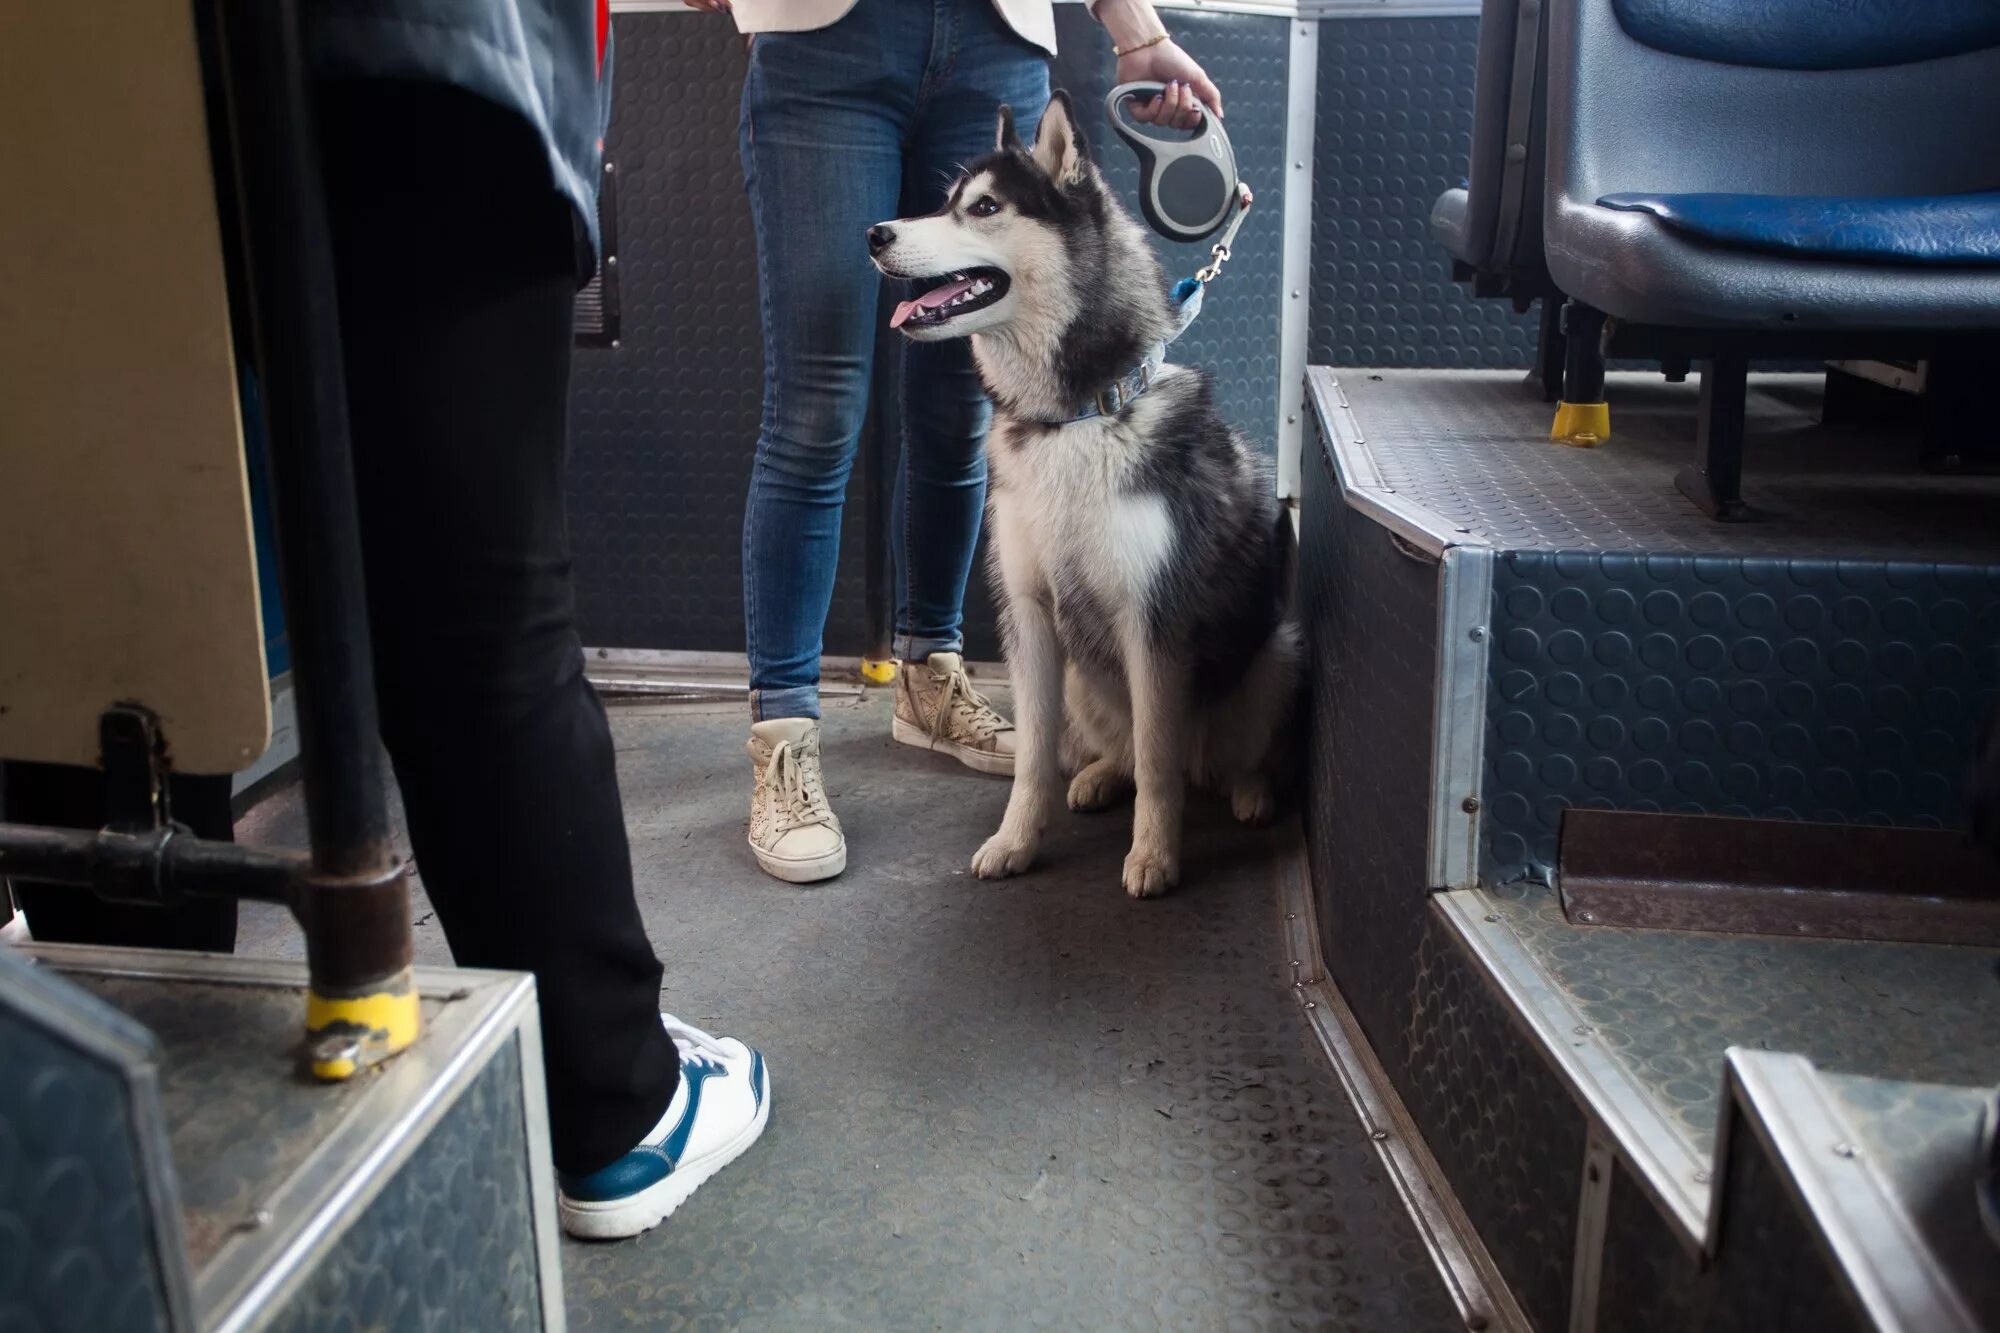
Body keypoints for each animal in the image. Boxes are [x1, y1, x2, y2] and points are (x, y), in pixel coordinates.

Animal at [864, 91, 1296, 892]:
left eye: (984, 206)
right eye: (943, 203)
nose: (876, 234)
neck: (1075, 418)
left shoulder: (1153, 622)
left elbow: (1158, 761)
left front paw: (1154, 855)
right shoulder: (1030, 615)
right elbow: (1036, 758)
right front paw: (1017, 840)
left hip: (1276, 651)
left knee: (1224, 756)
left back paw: (1251, 791)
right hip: (1083, 683)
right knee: (1123, 749)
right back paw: (1100, 775)